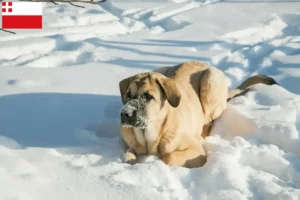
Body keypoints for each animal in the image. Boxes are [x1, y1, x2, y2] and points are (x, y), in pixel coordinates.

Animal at [118, 60, 278, 168]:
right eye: (128, 95)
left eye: (148, 96)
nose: (125, 114)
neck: (151, 137)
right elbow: (128, 154)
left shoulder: (196, 151)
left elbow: (168, 158)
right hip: (162, 69)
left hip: (210, 82)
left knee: (209, 119)